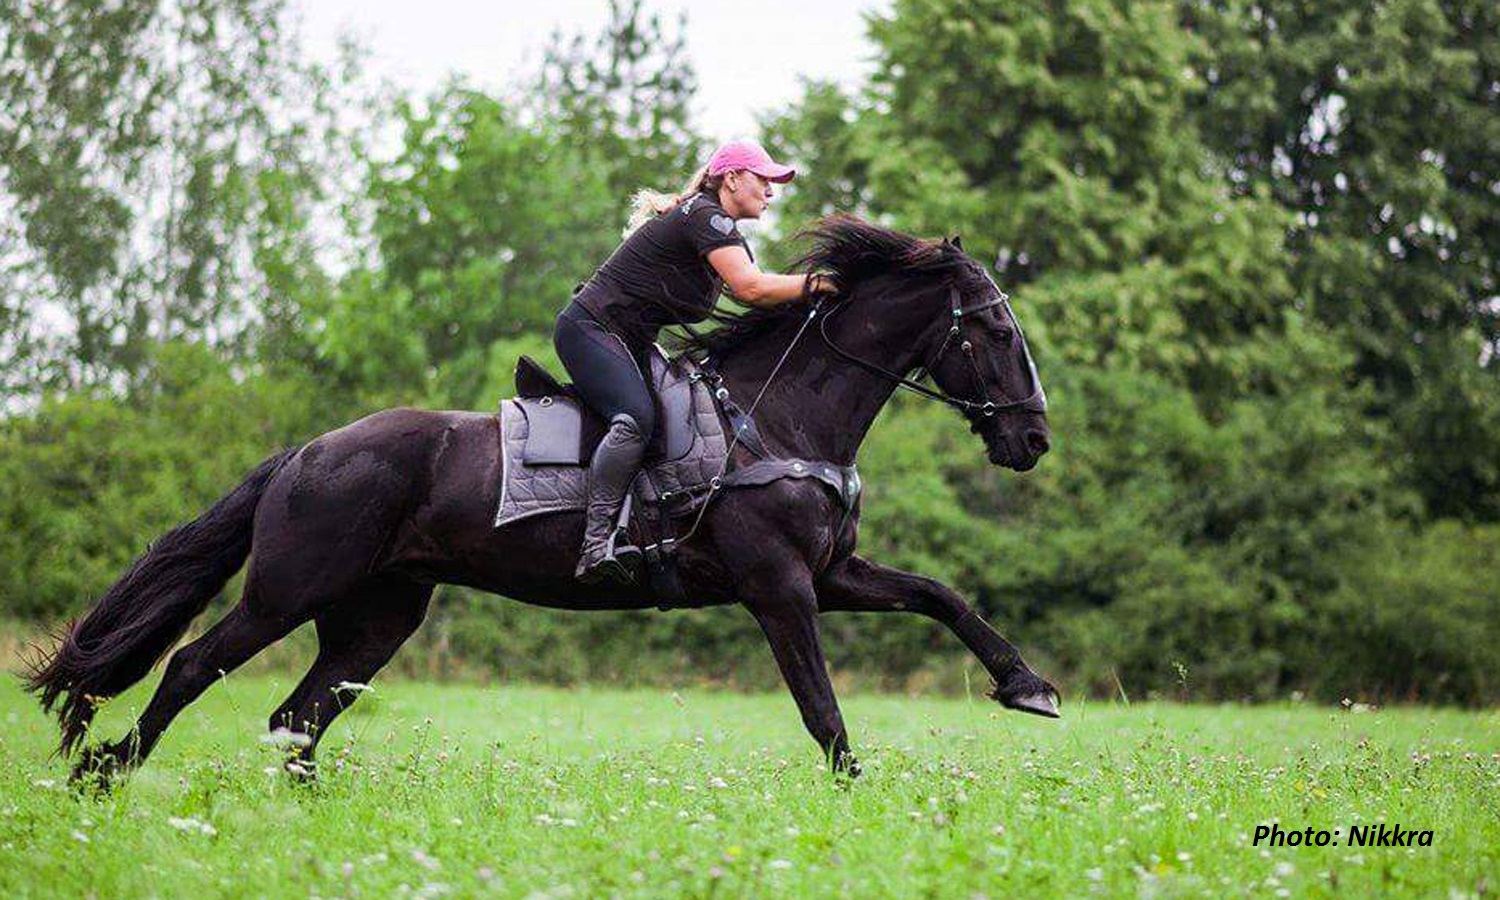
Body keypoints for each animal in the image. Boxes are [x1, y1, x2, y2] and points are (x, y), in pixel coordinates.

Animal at [23, 214, 1056, 786]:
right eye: (998, 331)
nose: (1033, 439)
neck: (783, 416)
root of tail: (305, 453)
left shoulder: (832, 574)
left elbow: (941, 596)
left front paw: (1028, 687)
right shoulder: (780, 588)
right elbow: (823, 710)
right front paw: (856, 797)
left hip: (378, 614)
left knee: (301, 716)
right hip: (287, 589)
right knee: (194, 667)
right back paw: (103, 776)